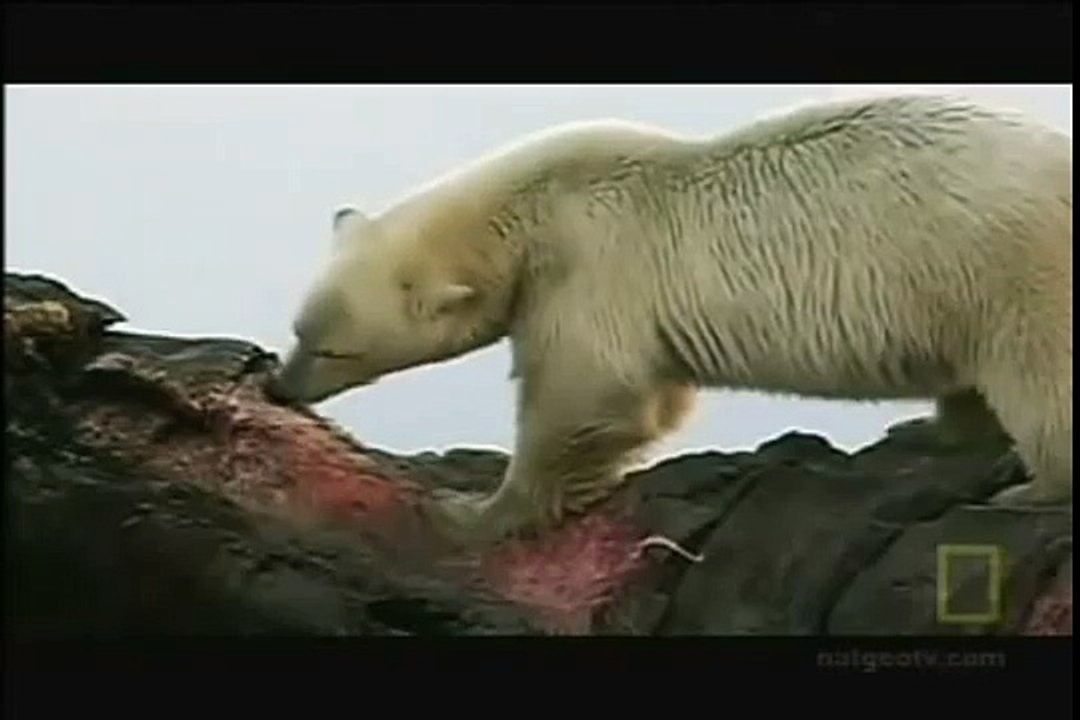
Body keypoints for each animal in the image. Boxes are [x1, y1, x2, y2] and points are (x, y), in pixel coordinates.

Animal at [267, 93, 1072, 546]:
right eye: (297, 331)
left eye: (331, 350)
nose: (279, 387)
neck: (531, 207)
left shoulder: (588, 267)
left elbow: (587, 396)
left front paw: (468, 511)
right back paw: (932, 431)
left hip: (1011, 263)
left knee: (1038, 373)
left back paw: (1030, 488)